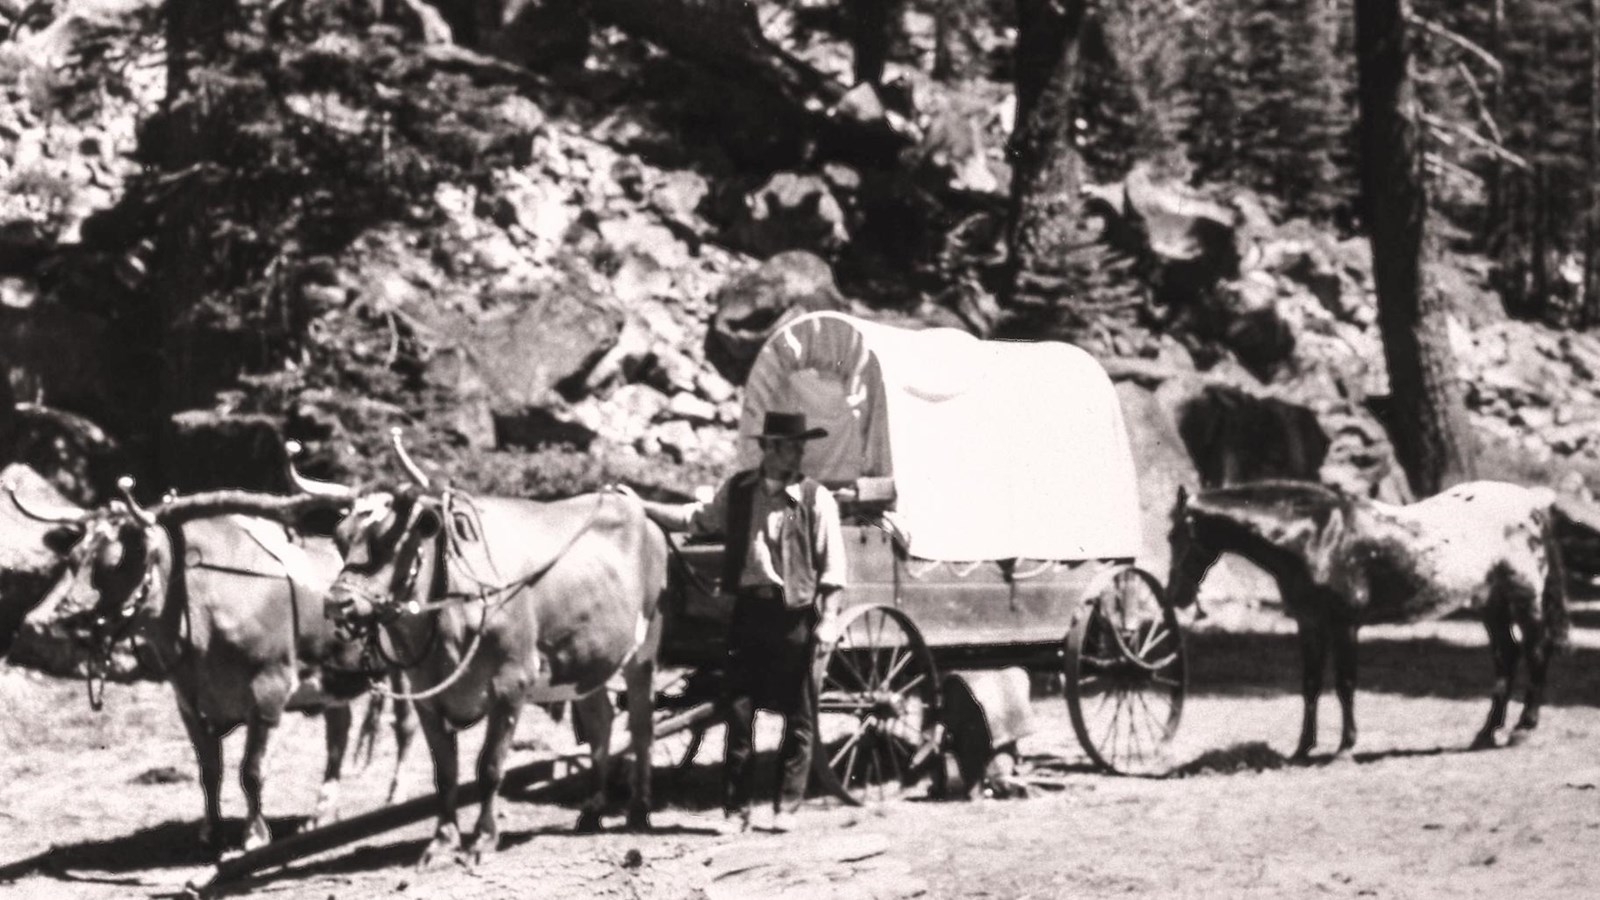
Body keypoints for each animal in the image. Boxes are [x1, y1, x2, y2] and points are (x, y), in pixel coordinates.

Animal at [328, 432, 665, 864]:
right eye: (340, 538)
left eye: (390, 541)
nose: (336, 603)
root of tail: (633, 507)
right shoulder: (426, 696)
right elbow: (446, 774)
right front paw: (442, 841)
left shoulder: (511, 682)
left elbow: (489, 766)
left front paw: (483, 839)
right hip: (588, 659)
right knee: (600, 722)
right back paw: (591, 810)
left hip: (644, 650)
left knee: (641, 725)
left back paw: (639, 809)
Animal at [1171, 480, 1568, 752]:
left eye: (1181, 536)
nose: (1177, 594)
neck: (1318, 536)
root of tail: (1532, 504)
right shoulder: (1309, 623)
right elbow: (1311, 683)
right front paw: (1303, 747)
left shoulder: (1345, 624)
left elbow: (1345, 683)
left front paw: (1346, 746)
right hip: (1491, 605)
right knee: (1507, 657)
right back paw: (1486, 733)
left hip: (1524, 600)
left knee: (1536, 651)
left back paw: (1523, 728)